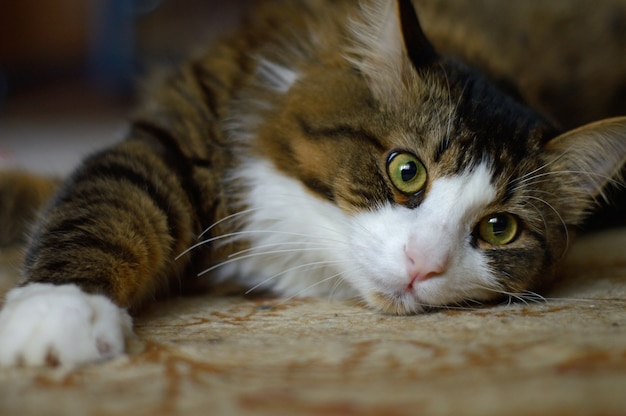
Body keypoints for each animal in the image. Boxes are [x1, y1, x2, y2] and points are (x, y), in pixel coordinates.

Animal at [1, 0, 624, 366]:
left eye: (498, 229)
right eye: (406, 171)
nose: (423, 265)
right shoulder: (177, 141)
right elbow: (96, 209)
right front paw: (57, 309)